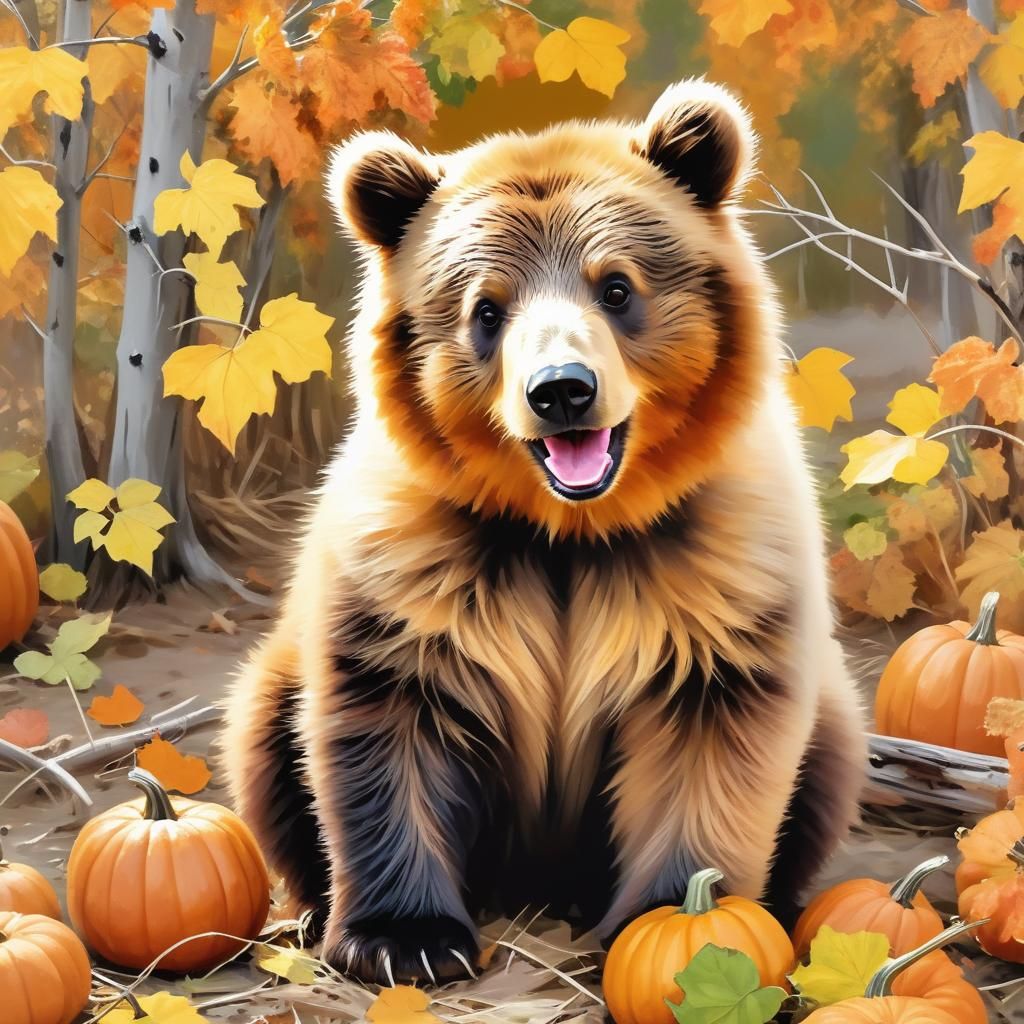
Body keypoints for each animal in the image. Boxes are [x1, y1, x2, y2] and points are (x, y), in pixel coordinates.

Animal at [222, 78, 867, 987]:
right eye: (485, 309)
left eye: (617, 287)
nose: (562, 390)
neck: (570, 530)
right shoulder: (416, 567)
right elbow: (390, 724)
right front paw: (405, 939)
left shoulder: (714, 571)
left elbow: (708, 736)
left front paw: (675, 923)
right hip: (273, 690)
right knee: (266, 741)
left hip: (831, 712)